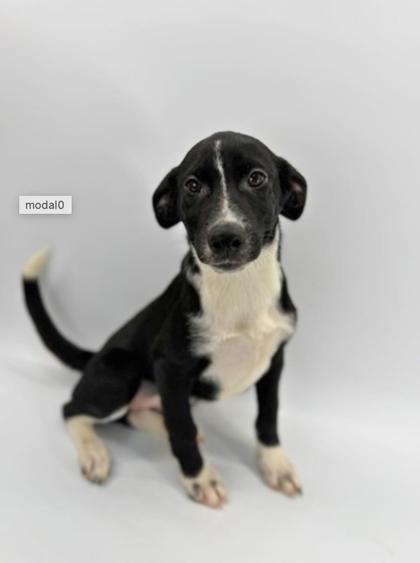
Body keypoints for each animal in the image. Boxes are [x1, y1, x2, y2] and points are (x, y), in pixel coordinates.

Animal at [23, 131, 307, 508]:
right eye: (192, 185)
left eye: (257, 178)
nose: (225, 237)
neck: (239, 288)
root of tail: (96, 356)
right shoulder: (171, 367)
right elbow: (183, 431)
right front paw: (199, 479)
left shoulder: (274, 360)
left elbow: (268, 415)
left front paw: (276, 465)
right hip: (121, 372)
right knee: (72, 409)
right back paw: (94, 453)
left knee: (141, 415)